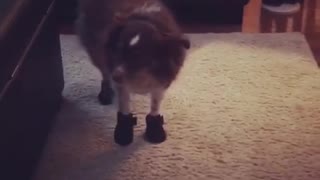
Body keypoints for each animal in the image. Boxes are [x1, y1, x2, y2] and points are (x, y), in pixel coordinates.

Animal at [75, 0, 190, 146]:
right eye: (118, 50)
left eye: (138, 57)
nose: (115, 76)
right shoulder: (120, 81)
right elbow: (124, 106)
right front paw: (124, 132)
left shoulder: (160, 82)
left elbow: (155, 105)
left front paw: (155, 129)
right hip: (95, 48)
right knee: (103, 70)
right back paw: (106, 92)